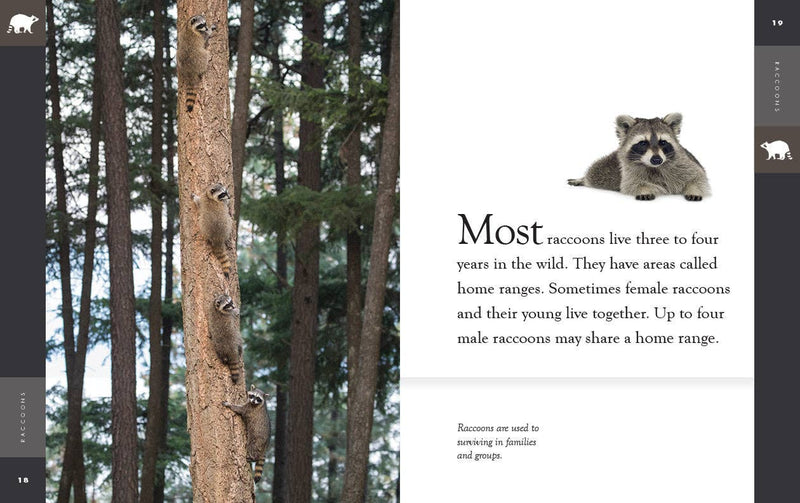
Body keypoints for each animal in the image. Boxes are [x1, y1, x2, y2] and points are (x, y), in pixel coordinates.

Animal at [568, 113, 710, 201]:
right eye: (643, 143)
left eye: (663, 142)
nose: (657, 159)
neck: (654, 167)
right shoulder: (627, 171)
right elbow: (631, 184)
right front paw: (644, 189)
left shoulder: (685, 163)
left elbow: (699, 177)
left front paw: (694, 189)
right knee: (595, 174)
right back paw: (584, 179)